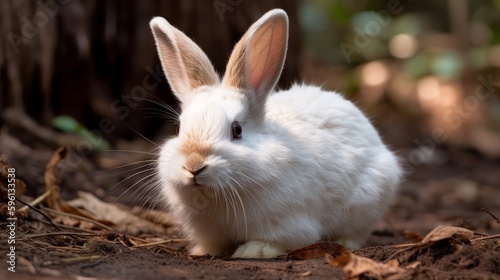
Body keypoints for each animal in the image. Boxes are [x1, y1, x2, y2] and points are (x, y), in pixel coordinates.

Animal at [149, 8, 402, 258]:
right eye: (179, 128)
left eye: (237, 130)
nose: (194, 165)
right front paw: (203, 251)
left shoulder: (289, 223)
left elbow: (278, 241)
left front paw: (253, 251)